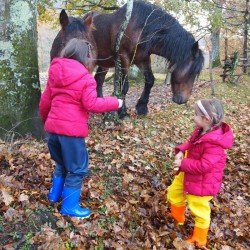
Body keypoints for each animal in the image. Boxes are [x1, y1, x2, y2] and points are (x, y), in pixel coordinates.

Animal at [50, 0, 203, 117]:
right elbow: (124, 86)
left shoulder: (142, 60)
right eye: (191, 72)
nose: (182, 100)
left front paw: (142, 107)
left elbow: (150, 80)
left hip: (104, 62)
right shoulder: (123, 58)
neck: (142, 27)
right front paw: (122, 112)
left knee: (98, 79)